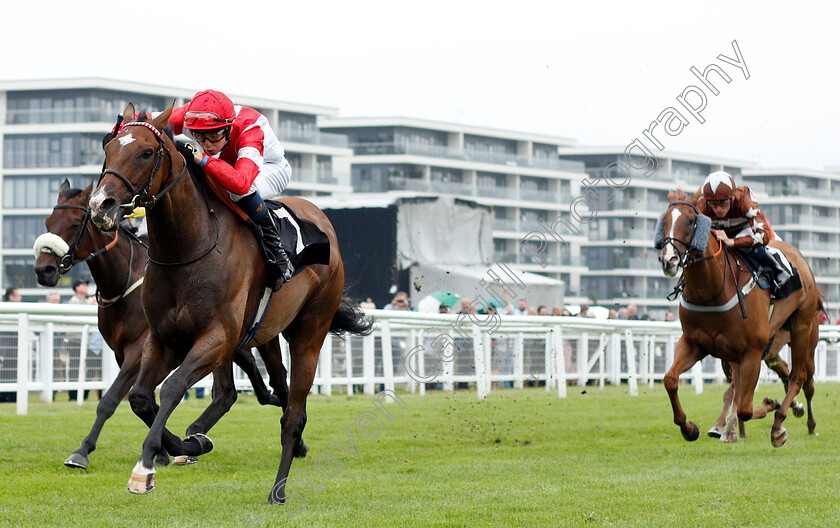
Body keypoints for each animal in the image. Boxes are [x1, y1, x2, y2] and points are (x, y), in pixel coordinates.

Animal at [88, 103, 370, 504]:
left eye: (145, 152)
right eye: (108, 148)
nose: (101, 206)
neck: (188, 249)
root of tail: (320, 217)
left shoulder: (217, 338)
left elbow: (173, 388)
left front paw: (145, 468)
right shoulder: (163, 338)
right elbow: (141, 397)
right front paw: (188, 444)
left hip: (310, 333)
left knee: (293, 415)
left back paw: (278, 490)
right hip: (268, 333)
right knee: (278, 387)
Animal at [656, 190, 820, 446]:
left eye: (691, 221)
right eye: (663, 221)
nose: (669, 260)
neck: (713, 291)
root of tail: (800, 258)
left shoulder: (752, 351)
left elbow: (746, 408)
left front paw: (769, 407)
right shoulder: (695, 344)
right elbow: (670, 380)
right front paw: (690, 428)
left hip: (802, 329)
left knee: (800, 377)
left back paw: (783, 424)